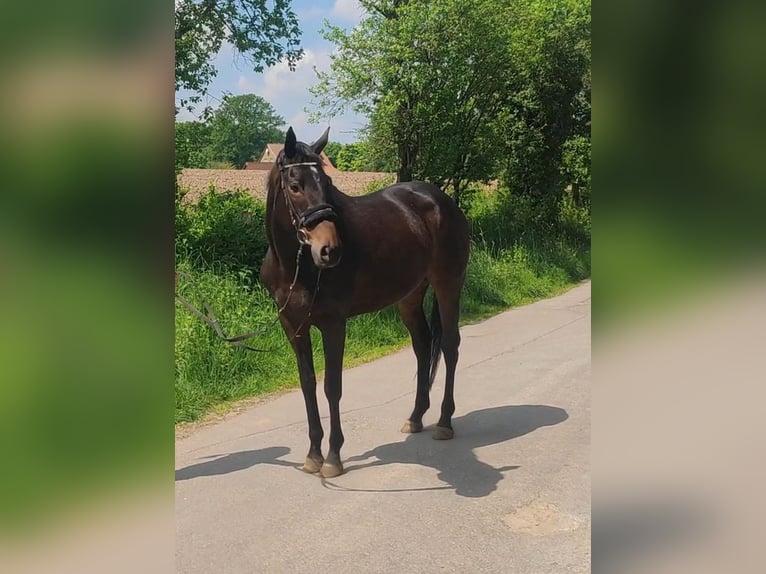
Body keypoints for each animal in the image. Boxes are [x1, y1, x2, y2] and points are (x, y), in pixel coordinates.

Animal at [260, 127, 472, 482]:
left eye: (327, 183)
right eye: (295, 186)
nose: (330, 250)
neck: (296, 268)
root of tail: (442, 201)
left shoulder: (333, 324)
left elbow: (332, 386)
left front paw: (333, 457)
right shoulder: (293, 326)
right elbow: (307, 385)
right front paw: (313, 454)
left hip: (448, 285)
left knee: (449, 346)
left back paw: (444, 422)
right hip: (409, 296)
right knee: (423, 346)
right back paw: (415, 417)